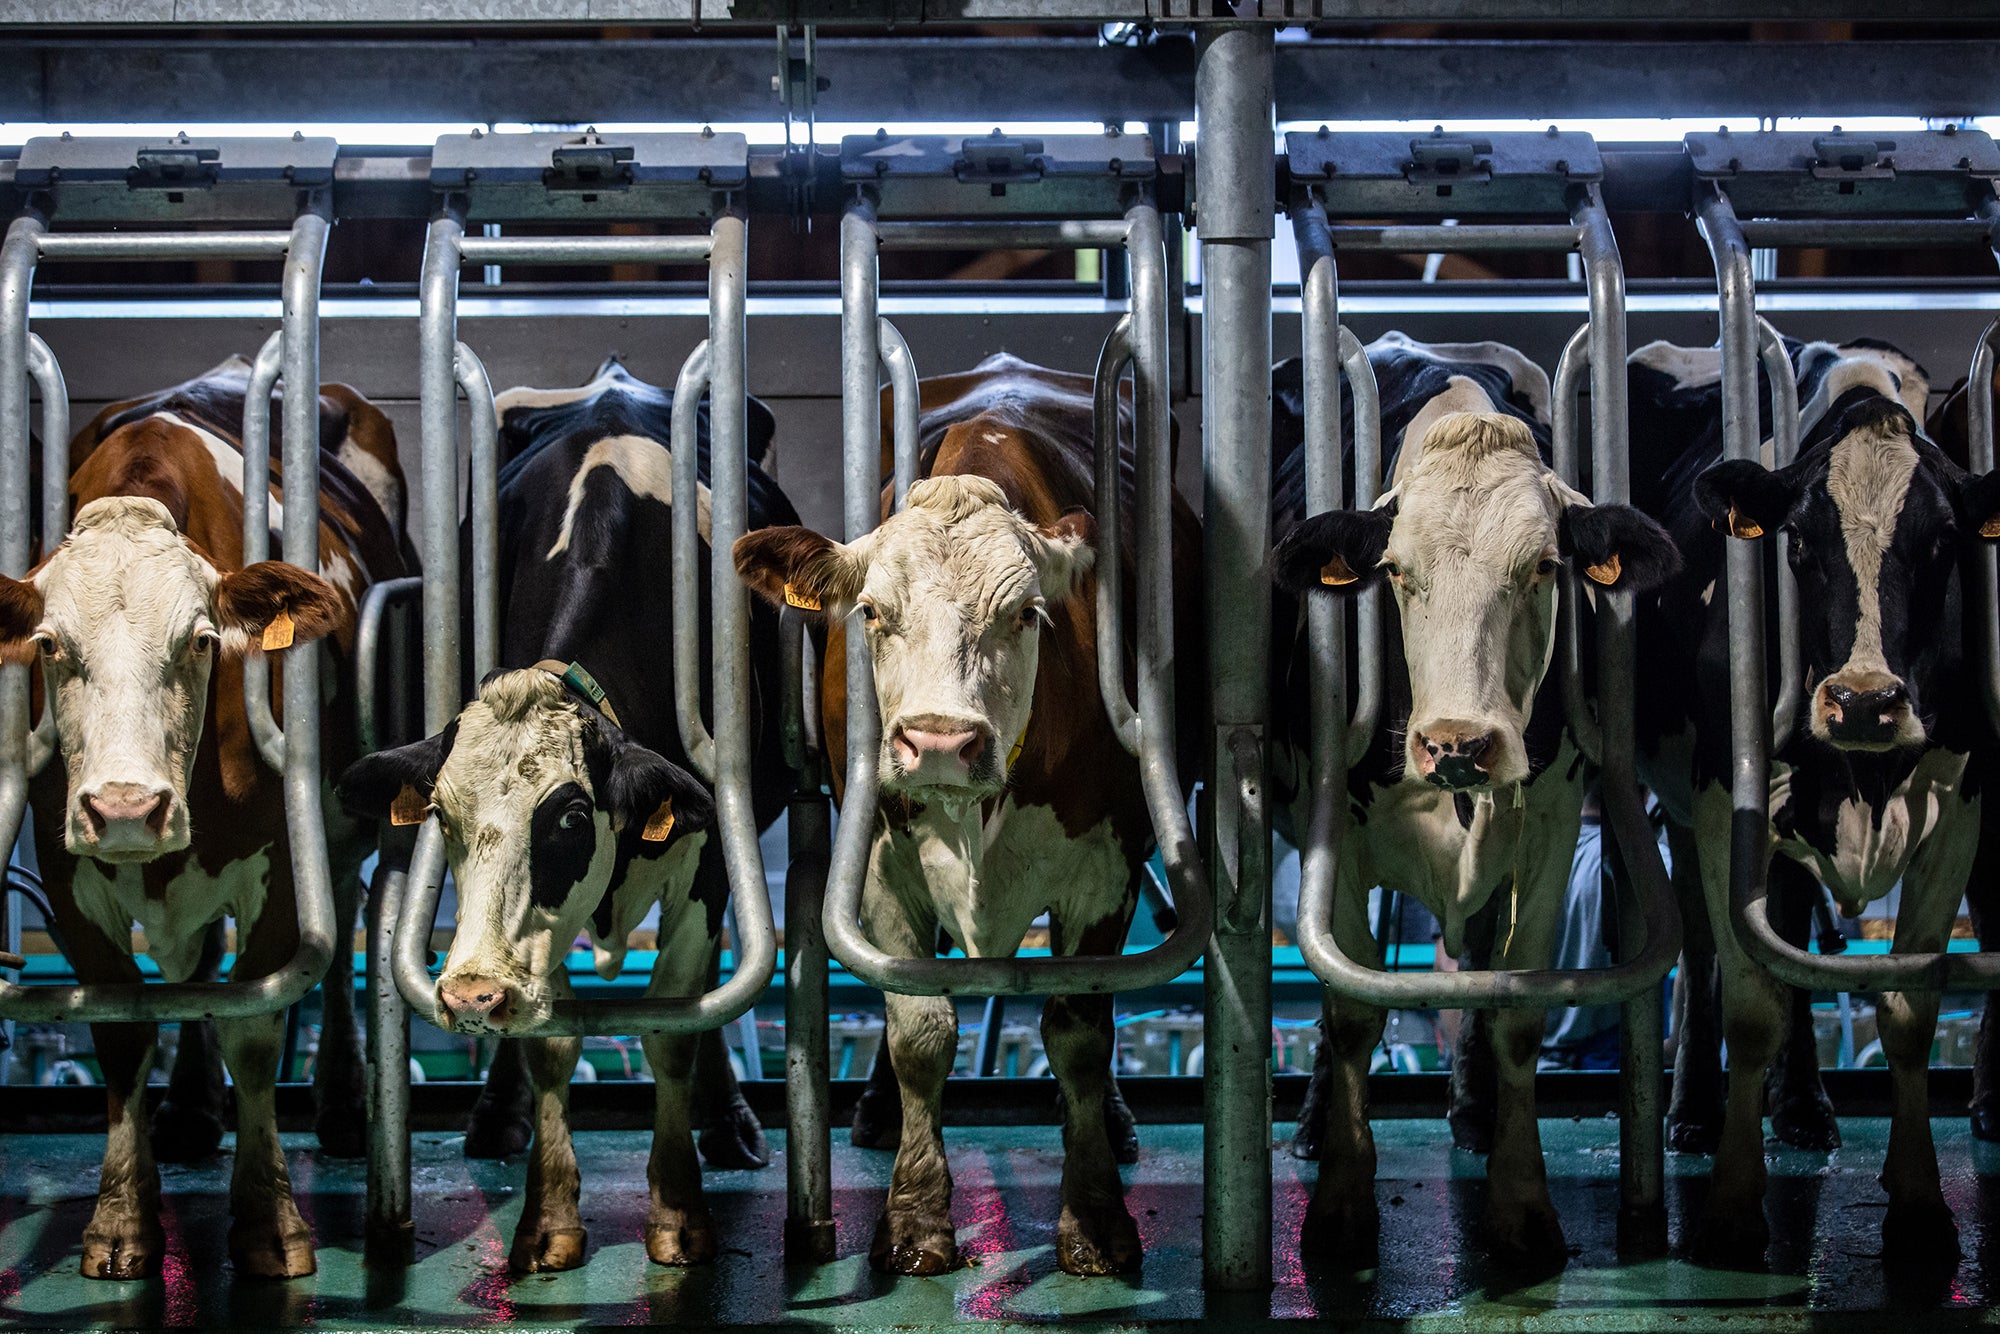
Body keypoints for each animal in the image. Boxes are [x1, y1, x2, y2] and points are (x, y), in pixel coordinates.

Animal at [0, 360, 408, 1280]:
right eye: (49, 645)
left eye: (199, 640)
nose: (125, 807)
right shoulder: (65, 870)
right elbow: (121, 1027)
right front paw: (122, 1218)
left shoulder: (281, 862)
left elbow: (256, 1023)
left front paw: (269, 1219)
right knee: (193, 964)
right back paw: (188, 1108)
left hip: (339, 833)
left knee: (337, 935)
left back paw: (339, 1100)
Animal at [338, 362, 796, 1272]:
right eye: (441, 814)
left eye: (572, 818)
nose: (470, 993)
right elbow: (550, 1039)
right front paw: (547, 1217)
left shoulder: (710, 859)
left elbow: (676, 1025)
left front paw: (679, 1210)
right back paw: (495, 1116)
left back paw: (730, 1125)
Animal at [740, 358, 1192, 1280]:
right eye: (872, 613)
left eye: (1026, 614)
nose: (940, 742)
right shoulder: (881, 866)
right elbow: (919, 1026)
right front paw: (914, 1220)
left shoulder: (1105, 866)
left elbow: (1081, 1030)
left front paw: (1096, 1219)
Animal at [1272, 328, 1680, 1272]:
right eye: (1394, 570)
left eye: (1544, 567)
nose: (1457, 743)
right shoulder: (1332, 832)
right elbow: (1350, 1009)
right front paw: (1339, 1209)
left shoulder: (1552, 819)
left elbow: (1517, 1009)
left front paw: (1522, 1209)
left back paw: (1474, 1113)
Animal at [1632, 334, 1992, 1264]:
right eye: (1796, 539)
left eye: (1943, 540)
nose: (1864, 701)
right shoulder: (1721, 800)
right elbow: (1752, 1001)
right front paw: (1729, 1208)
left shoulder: (1959, 801)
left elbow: (1908, 1005)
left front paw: (1921, 1206)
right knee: (1704, 943)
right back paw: (1693, 1113)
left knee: (1793, 934)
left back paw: (1802, 1109)